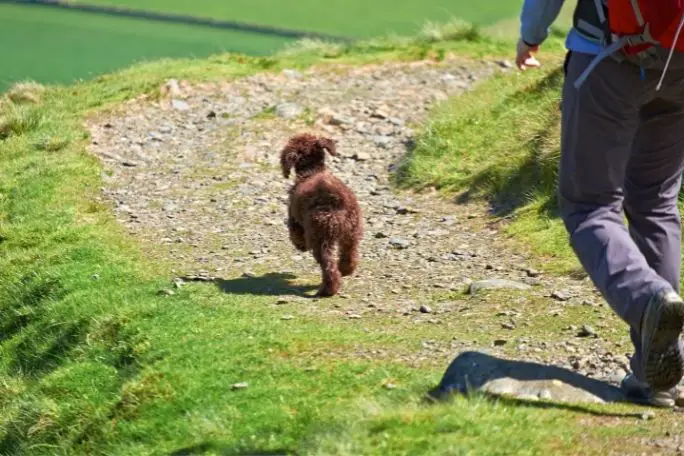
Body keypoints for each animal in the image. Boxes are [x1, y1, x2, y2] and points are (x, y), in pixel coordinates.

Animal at [278, 133, 364, 296]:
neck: (311, 171)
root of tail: (334, 199)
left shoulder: (294, 218)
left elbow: (295, 234)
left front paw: (301, 246)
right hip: (352, 231)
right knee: (350, 254)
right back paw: (345, 270)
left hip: (321, 236)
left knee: (328, 266)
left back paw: (327, 289)